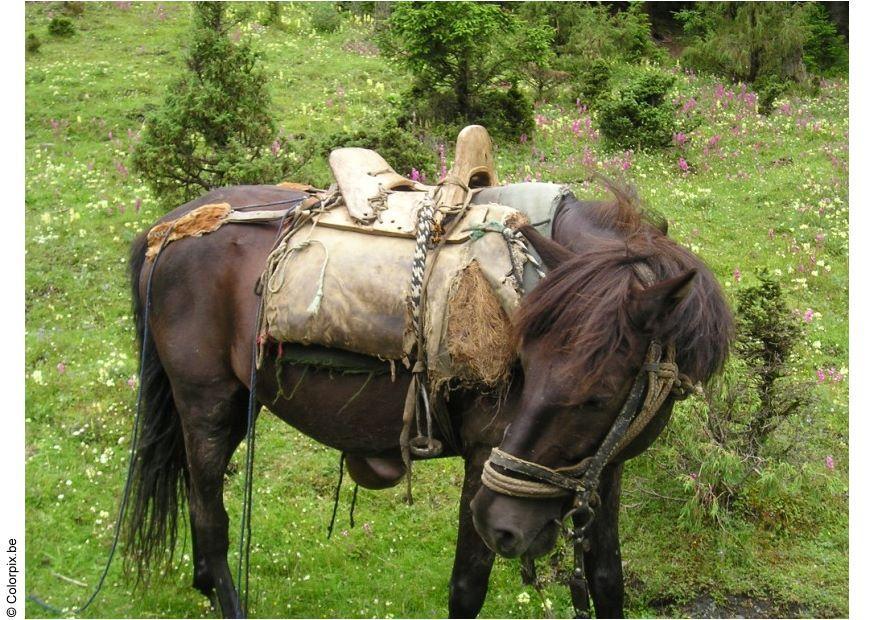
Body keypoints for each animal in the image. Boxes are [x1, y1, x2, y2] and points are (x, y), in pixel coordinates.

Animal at [124, 181, 733, 618]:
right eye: (525, 365)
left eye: (598, 395)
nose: (502, 523)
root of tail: (168, 227)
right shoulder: (486, 460)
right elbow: (467, 586)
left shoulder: (601, 471)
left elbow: (608, 581)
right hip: (207, 407)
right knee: (210, 522)